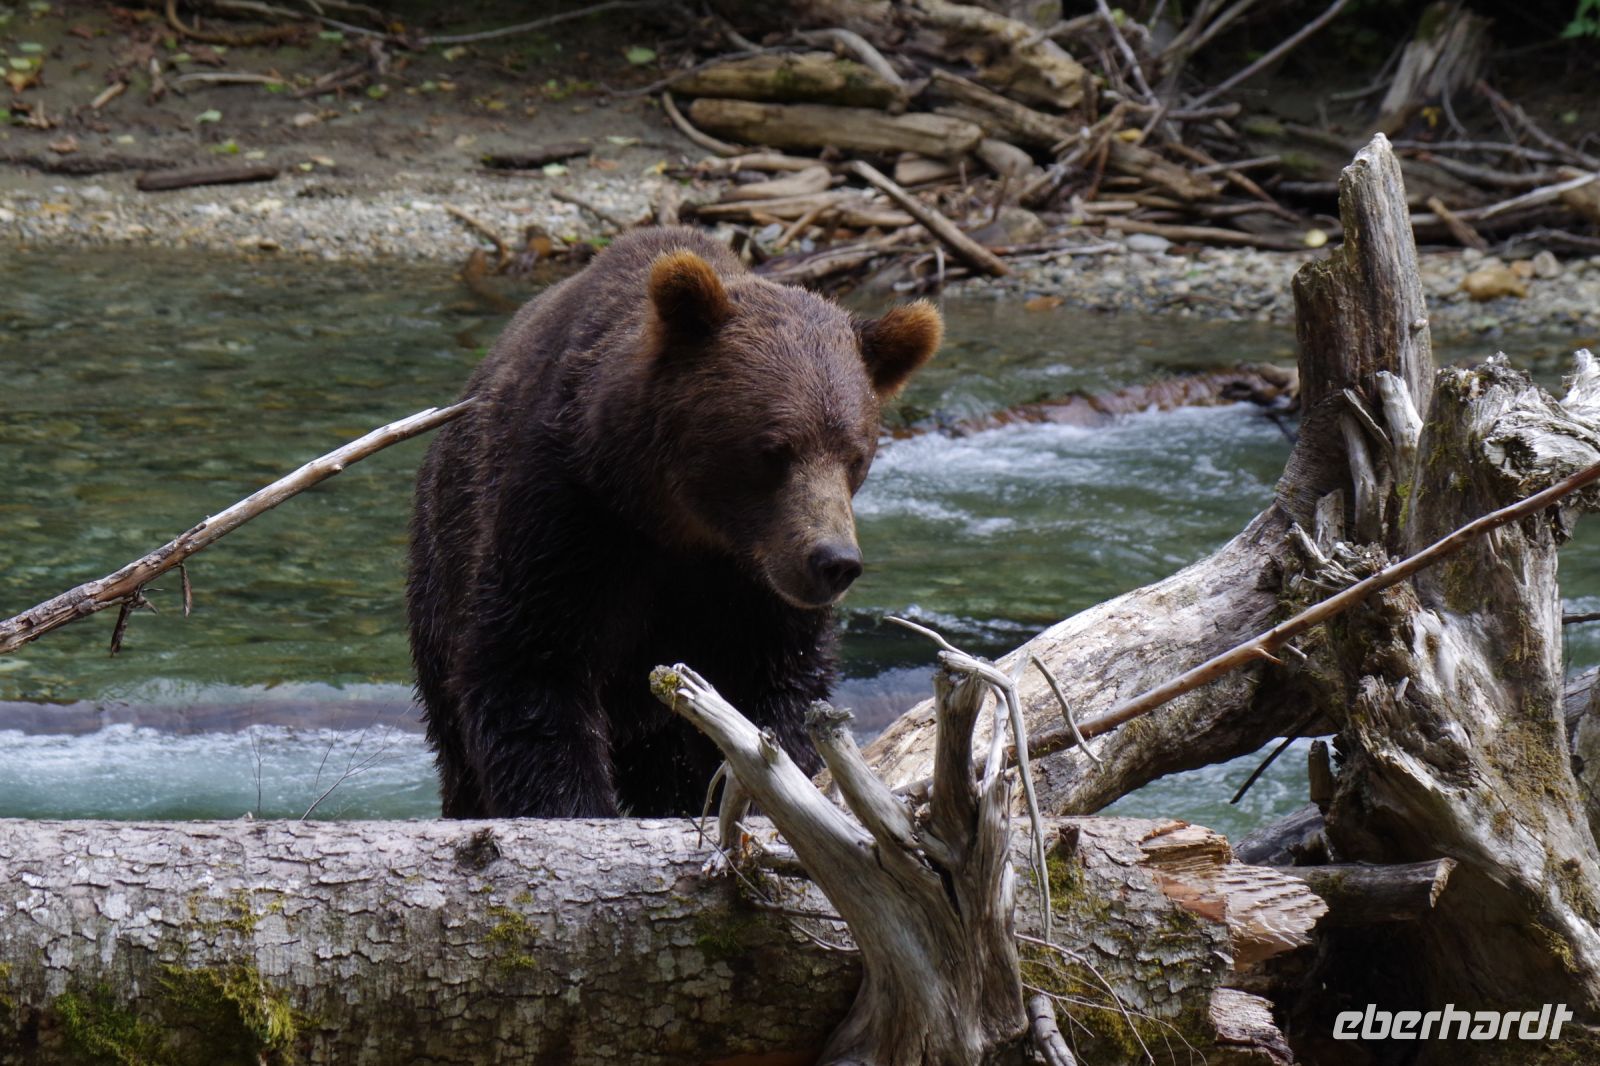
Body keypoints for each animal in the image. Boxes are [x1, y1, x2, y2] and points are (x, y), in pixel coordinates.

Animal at [407, 226, 942, 818]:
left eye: (855, 455)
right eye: (774, 449)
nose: (833, 562)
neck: (677, 520)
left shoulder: (751, 585)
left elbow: (776, 688)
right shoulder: (566, 517)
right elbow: (529, 669)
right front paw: (573, 805)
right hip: (440, 572)